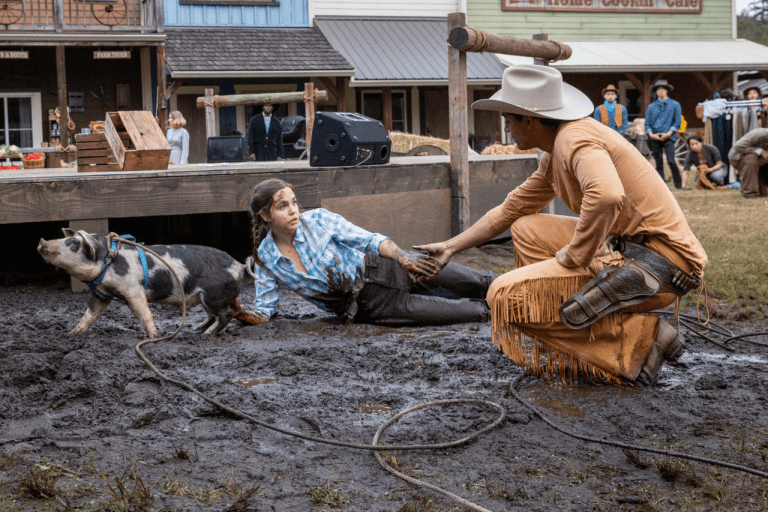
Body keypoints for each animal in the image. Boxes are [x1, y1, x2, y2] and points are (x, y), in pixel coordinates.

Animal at [37, 230, 260, 338]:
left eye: (74, 244)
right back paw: (196, 329)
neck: (108, 261)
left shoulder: (133, 290)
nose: (41, 241)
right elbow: (89, 315)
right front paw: (72, 334)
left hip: (214, 295)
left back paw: (205, 334)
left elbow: (144, 313)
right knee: (212, 315)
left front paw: (155, 336)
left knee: (226, 315)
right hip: (205, 298)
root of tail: (239, 266)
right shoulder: (102, 294)